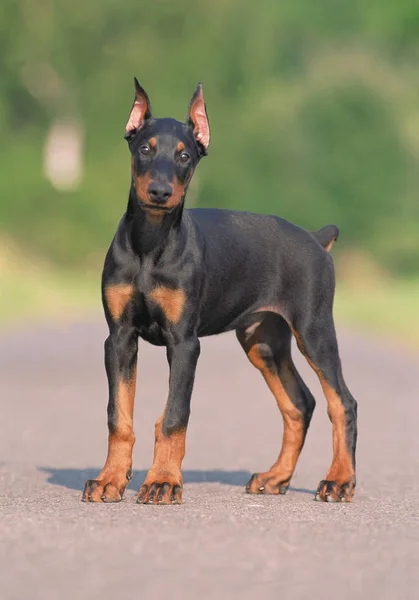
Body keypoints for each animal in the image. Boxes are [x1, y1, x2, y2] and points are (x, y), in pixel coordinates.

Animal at [83, 76, 360, 506]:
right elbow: (118, 415)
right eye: (145, 149)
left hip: (313, 331)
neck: (151, 243)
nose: (160, 192)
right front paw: (110, 479)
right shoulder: (119, 338)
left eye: (184, 156)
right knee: (300, 403)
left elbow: (174, 415)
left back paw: (339, 481)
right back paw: (276, 476)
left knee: (342, 402)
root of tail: (316, 239)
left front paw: (163, 482)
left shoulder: (184, 342)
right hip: (263, 342)